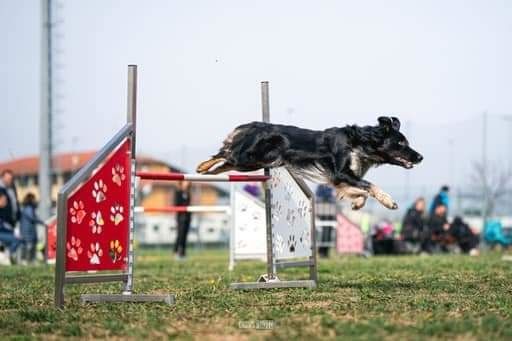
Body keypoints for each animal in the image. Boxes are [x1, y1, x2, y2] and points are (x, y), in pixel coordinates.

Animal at [196, 115, 420, 209]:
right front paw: (389, 201)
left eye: (407, 142)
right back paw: (202, 167)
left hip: (254, 163)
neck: (360, 143)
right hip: (248, 159)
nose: (420, 157)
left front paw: (357, 203)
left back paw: (207, 172)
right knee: (225, 155)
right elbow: (370, 186)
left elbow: (360, 191)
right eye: (401, 143)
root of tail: (253, 125)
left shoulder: (339, 179)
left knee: (225, 161)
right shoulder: (341, 172)